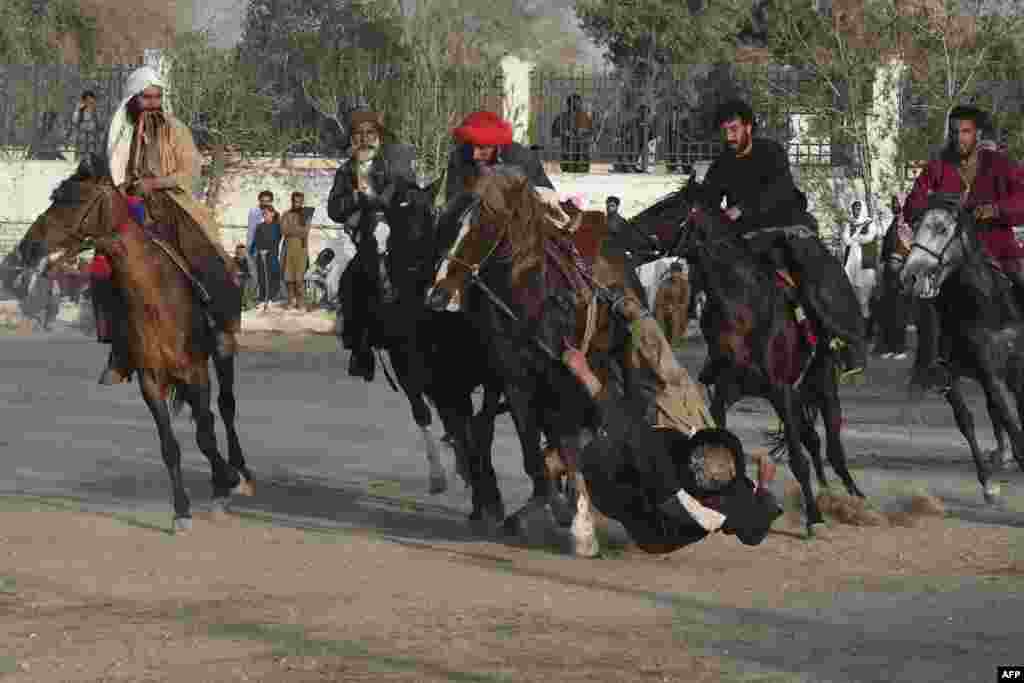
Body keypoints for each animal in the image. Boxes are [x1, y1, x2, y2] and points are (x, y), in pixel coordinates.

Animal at [4, 156, 252, 532]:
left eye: (74, 199)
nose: (27, 248)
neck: (155, 297)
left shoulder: (195, 369)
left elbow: (206, 434)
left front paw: (228, 480)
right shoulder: (150, 379)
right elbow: (170, 445)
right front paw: (182, 510)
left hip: (222, 350)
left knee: (224, 407)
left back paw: (240, 473)